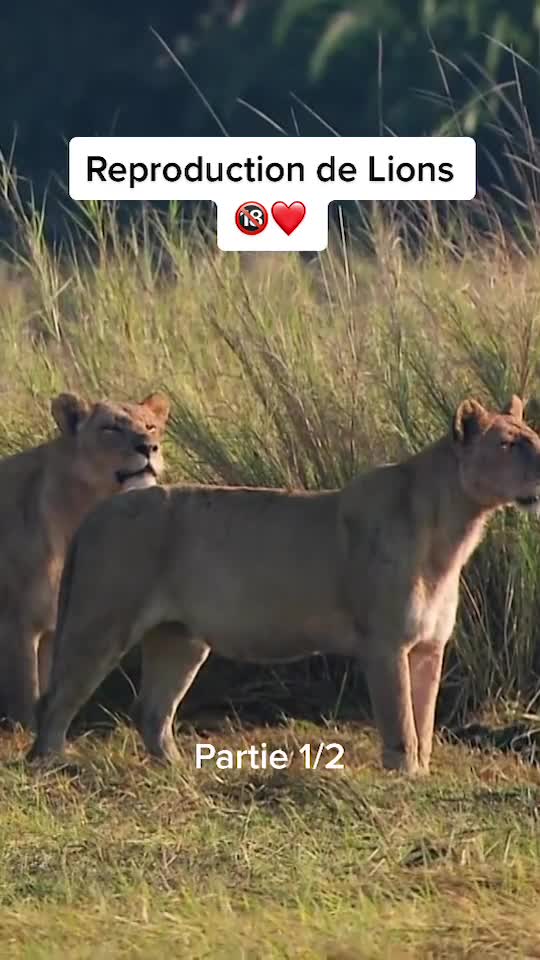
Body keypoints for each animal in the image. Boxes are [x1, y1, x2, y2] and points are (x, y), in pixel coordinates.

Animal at [0, 390, 170, 729]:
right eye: (111, 428)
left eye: (151, 426)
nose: (149, 447)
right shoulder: (17, 619)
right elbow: (25, 689)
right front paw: (25, 731)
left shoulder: (52, 624)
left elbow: (45, 685)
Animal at [28, 395, 540, 775]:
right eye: (508, 444)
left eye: (532, 438)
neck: (454, 527)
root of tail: (97, 513)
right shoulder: (385, 643)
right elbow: (402, 722)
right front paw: (404, 778)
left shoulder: (430, 647)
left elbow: (426, 720)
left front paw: (423, 775)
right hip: (101, 623)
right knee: (57, 701)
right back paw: (51, 766)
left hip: (181, 638)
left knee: (151, 711)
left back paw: (180, 771)